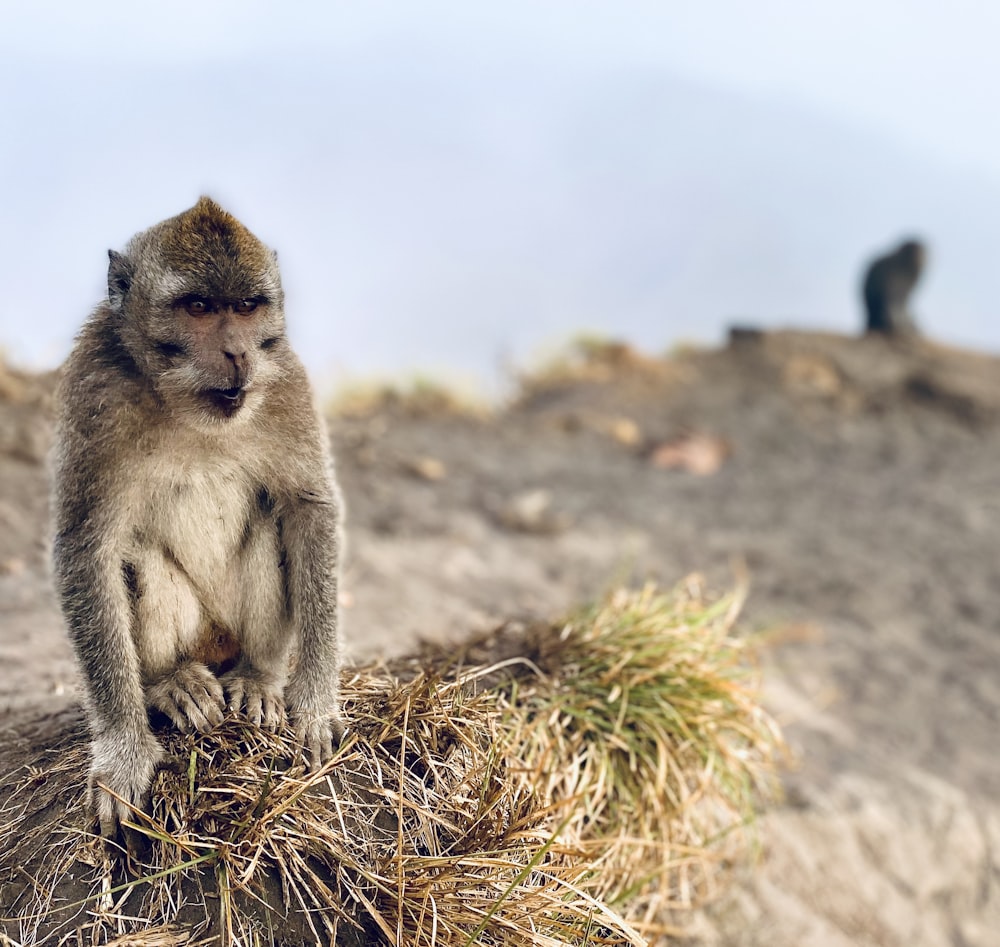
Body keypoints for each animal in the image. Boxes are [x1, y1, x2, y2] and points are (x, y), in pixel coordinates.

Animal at [51, 196, 348, 840]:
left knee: (273, 528)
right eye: (199, 308)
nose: (237, 353)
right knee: (131, 556)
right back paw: (171, 683)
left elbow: (307, 509)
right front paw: (124, 750)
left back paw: (258, 677)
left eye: (246, 307)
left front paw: (314, 703)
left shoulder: (284, 380)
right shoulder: (94, 386)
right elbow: (87, 547)